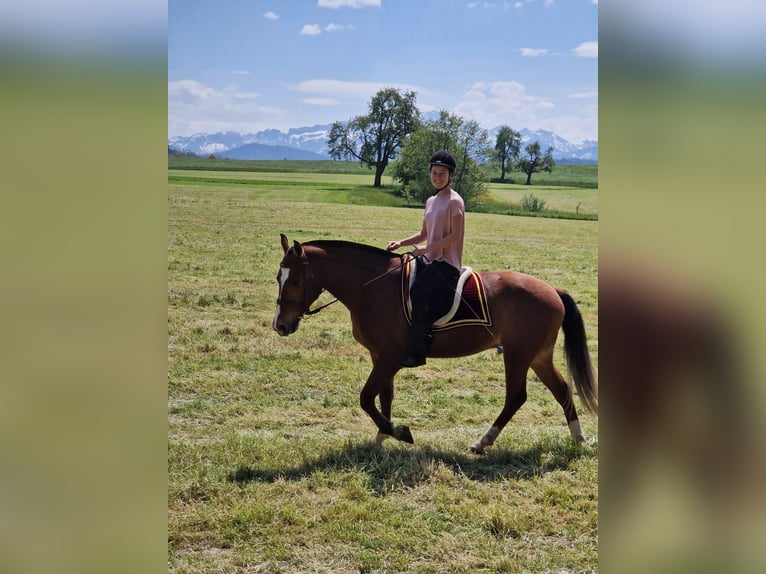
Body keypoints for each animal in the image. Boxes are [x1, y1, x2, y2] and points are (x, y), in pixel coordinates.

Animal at [272, 234, 596, 454]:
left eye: (295, 281)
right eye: (278, 277)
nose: (280, 325)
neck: (374, 288)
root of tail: (552, 290)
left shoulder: (390, 357)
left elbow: (366, 398)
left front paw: (398, 432)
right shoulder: (380, 356)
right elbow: (384, 397)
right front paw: (382, 436)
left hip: (518, 355)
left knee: (516, 397)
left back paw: (483, 441)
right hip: (538, 356)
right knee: (562, 390)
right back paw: (578, 439)